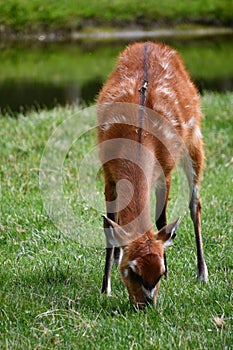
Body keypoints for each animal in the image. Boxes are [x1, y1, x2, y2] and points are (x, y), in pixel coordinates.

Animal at [96, 41, 208, 308]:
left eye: (158, 272)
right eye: (133, 270)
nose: (146, 305)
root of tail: (150, 43)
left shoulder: (164, 171)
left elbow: (161, 221)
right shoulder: (108, 173)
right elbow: (109, 227)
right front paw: (105, 288)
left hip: (195, 139)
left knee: (195, 204)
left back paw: (202, 273)